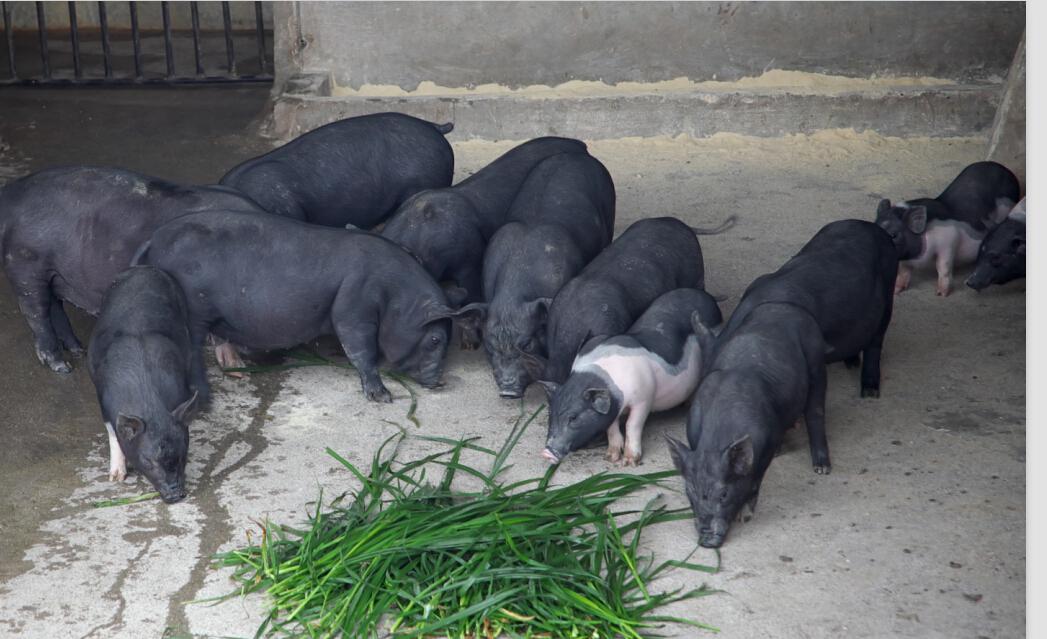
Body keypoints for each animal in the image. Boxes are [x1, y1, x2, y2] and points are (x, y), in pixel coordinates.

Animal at [879, 161, 1017, 295]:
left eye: (894, 235)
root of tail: (1008, 172)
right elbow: (904, 271)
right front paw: (896, 291)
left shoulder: (949, 241)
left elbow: (943, 267)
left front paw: (941, 294)